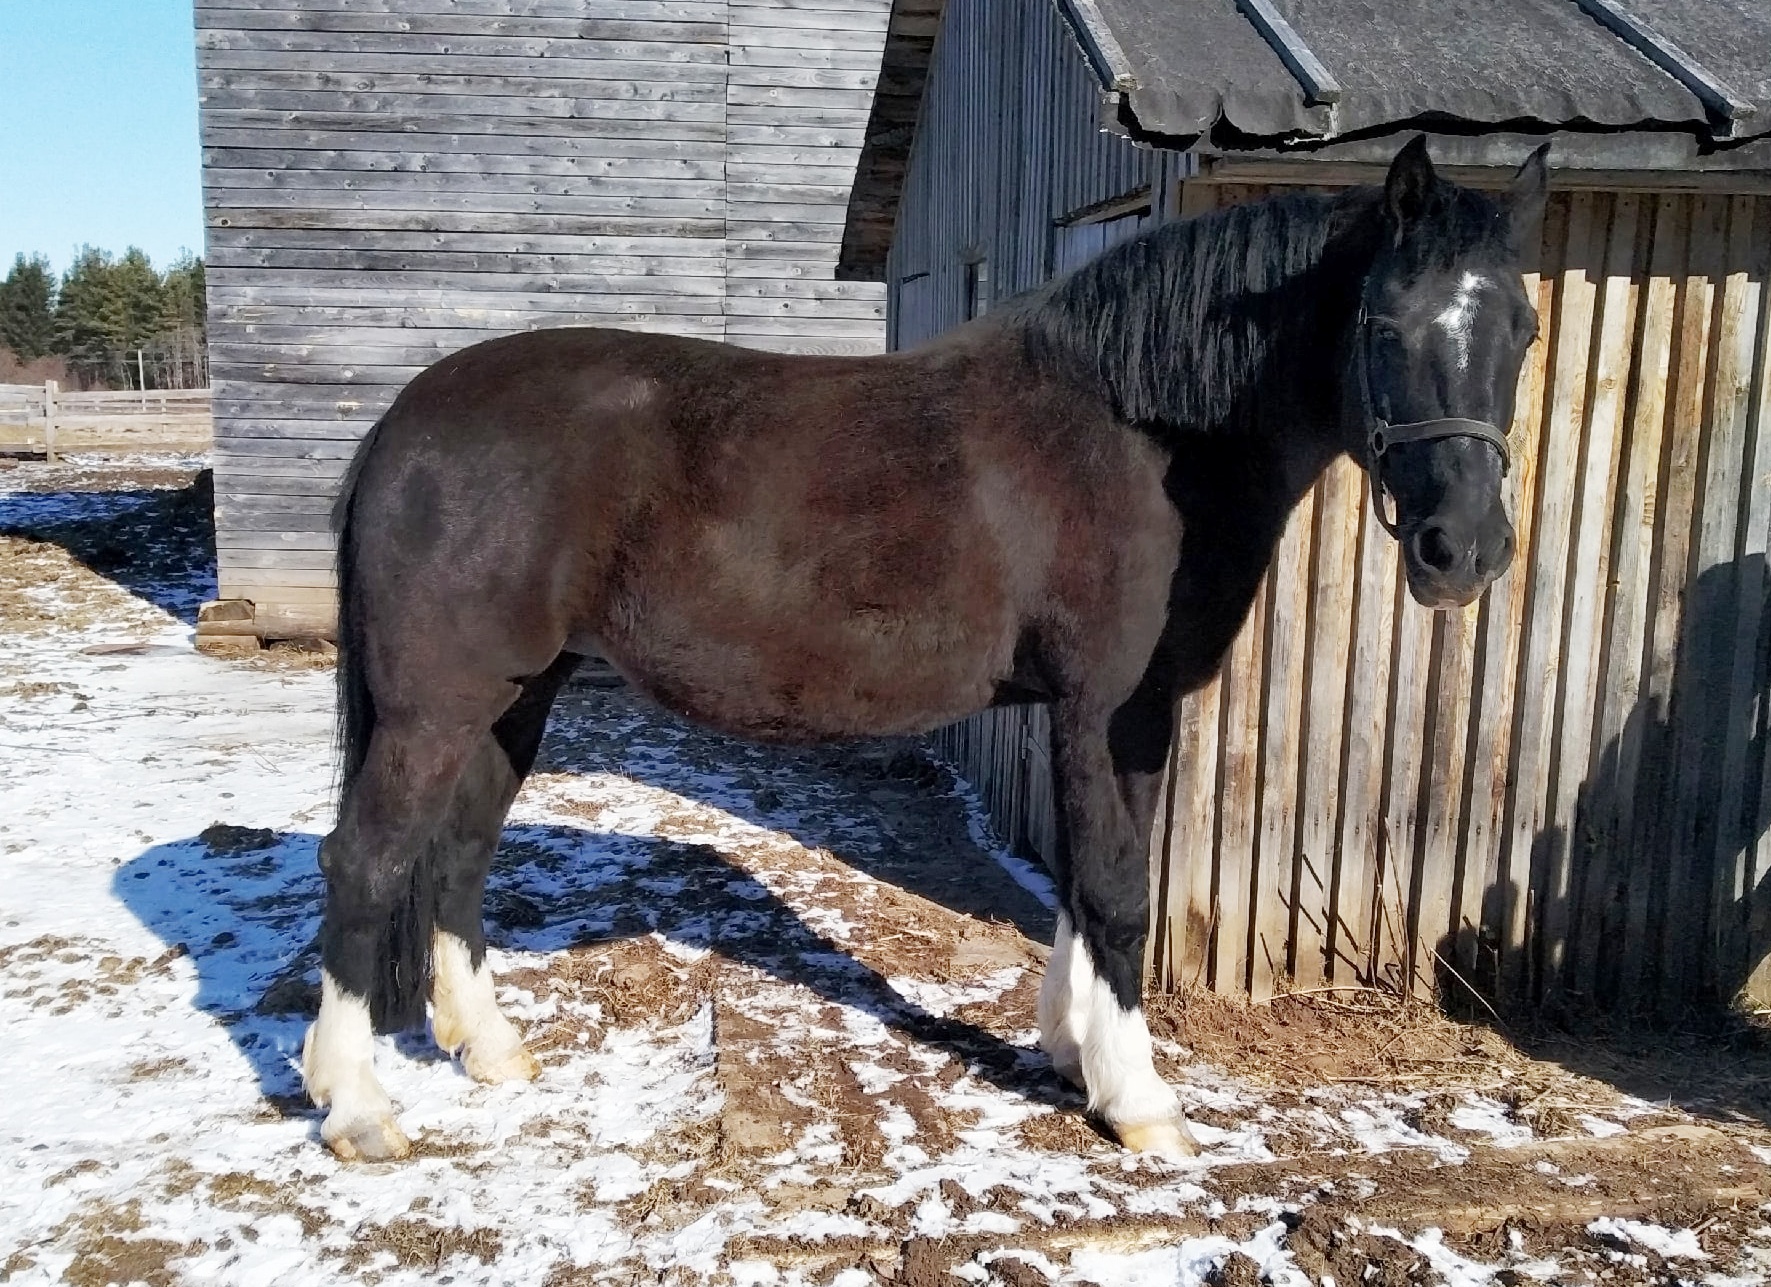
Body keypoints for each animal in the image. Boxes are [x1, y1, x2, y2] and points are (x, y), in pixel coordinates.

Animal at [308, 138, 1551, 1161]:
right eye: (1384, 325)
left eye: (1524, 329)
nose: (1463, 549)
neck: (1138, 436)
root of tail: (405, 424)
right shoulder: (1109, 705)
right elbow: (1116, 891)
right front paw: (1139, 1102)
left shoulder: (1118, 716)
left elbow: (1085, 881)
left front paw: (1068, 1051)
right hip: (435, 707)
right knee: (366, 862)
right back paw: (357, 1106)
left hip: (514, 696)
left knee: (459, 855)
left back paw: (489, 1051)